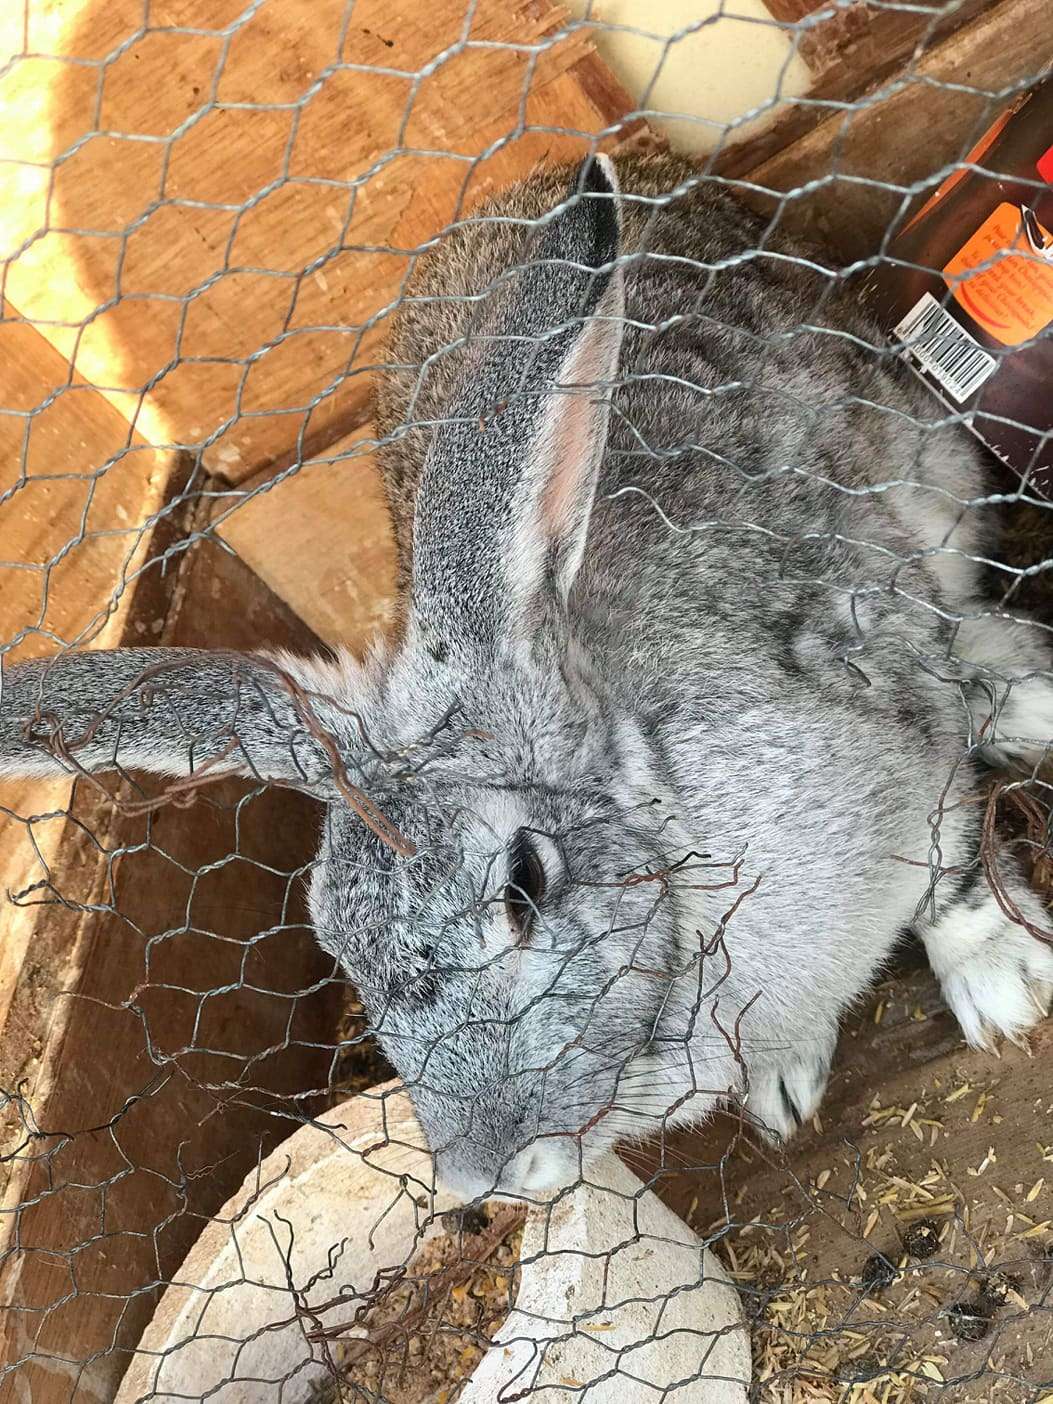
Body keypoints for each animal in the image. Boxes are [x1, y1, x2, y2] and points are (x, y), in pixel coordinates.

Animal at [3, 152, 1053, 1203]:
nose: (483, 1183)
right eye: (337, 948)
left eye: (524, 884)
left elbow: (953, 874)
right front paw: (781, 1086)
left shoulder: (904, 733)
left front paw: (1008, 988)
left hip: (934, 480)